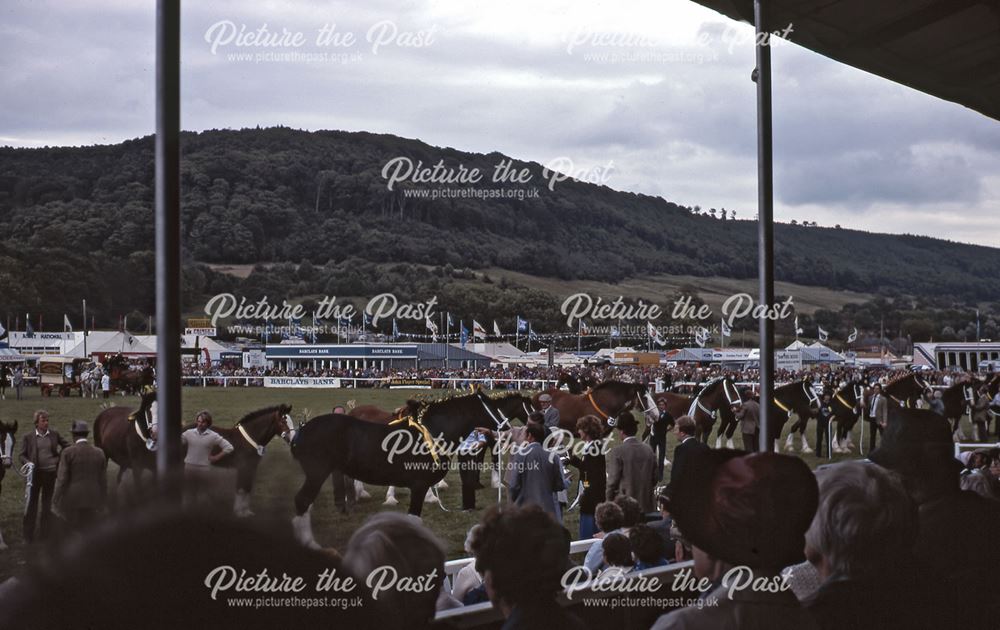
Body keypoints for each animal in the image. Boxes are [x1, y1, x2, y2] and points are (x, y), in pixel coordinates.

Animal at [288, 392, 508, 552]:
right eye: (488, 405)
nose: (505, 427)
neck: (431, 434)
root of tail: (302, 431)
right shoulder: (419, 486)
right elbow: (414, 519)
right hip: (316, 474)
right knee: (302, 501)